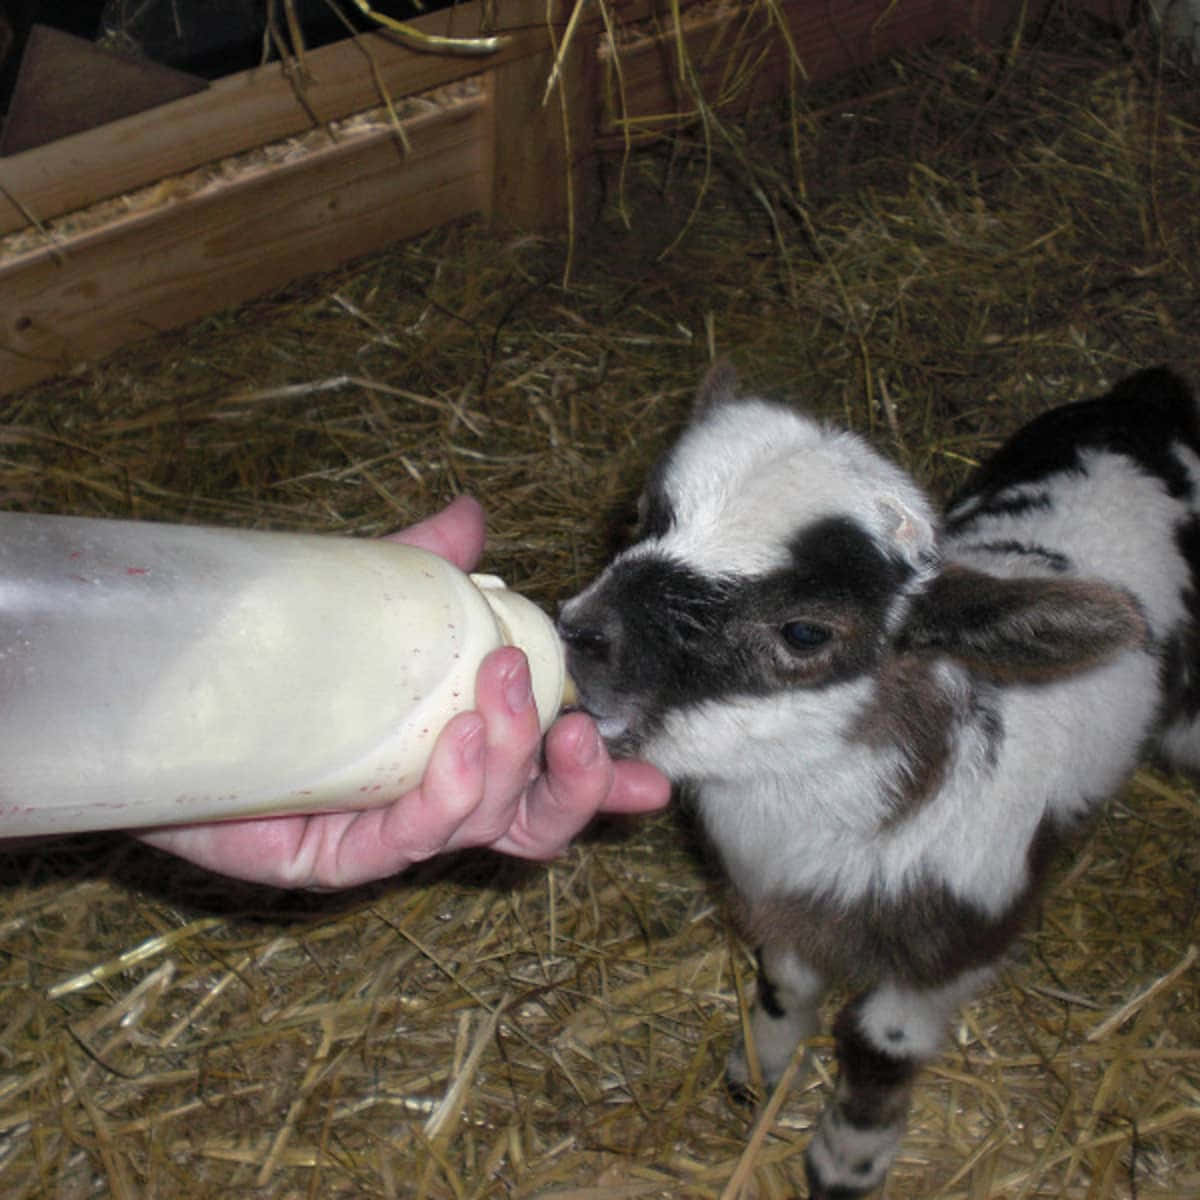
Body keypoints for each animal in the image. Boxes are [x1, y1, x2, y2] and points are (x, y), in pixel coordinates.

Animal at [558, 363, 1200, 1198]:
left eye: (805, 632)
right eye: (639, 519)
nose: (579, 633)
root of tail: (1148, 395)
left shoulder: (960, 936)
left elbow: (878, 1045)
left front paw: (845, 1162)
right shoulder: (775, 900)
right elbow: (784, 985)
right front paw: (758, 1073)